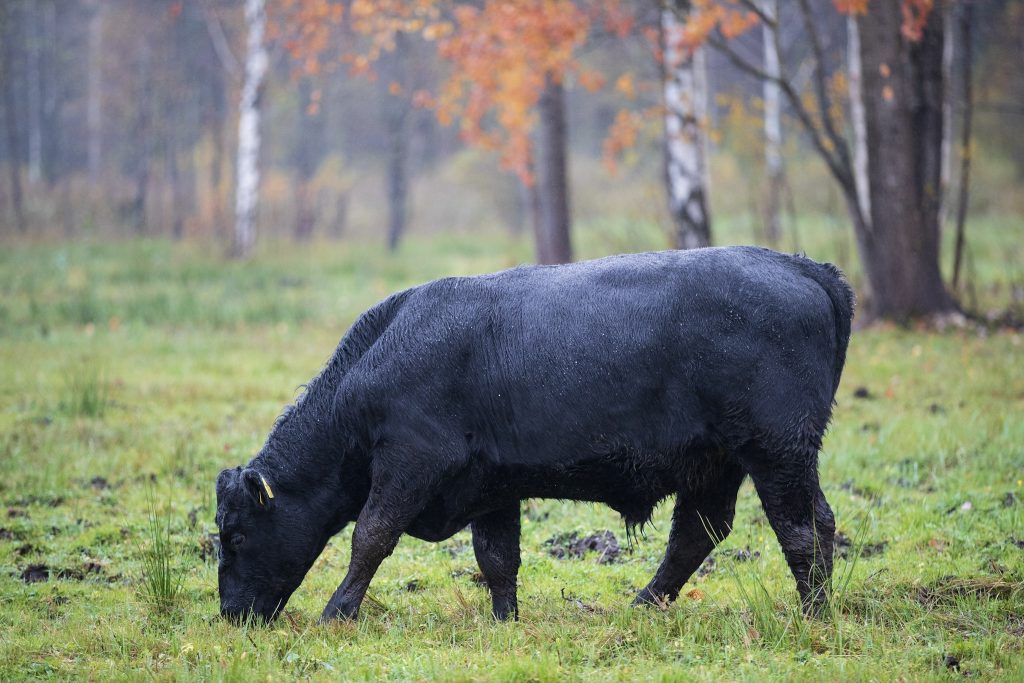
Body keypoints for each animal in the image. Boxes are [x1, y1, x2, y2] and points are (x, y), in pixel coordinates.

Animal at [215, 246, 854, 625]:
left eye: (237, 535)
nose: (230, 614)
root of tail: (804, 267)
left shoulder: (410, 464)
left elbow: (370, 536)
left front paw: (337, 611)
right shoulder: (492, 487)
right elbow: (497, 558)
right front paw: (505, 620)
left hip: (777, 453)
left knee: (804, 527)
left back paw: (814, 614)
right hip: (720, 463)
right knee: (699, 534)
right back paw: (642, 604)